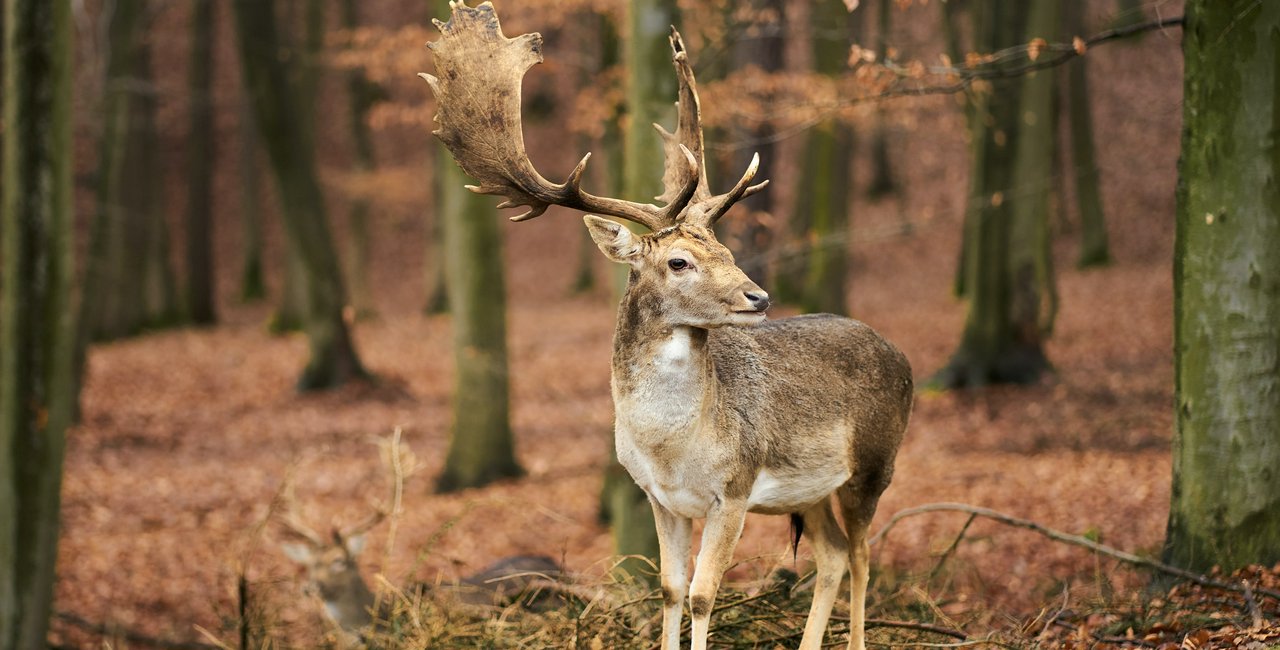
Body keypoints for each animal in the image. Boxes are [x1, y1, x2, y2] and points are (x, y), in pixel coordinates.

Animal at [419, 2, 911, 647]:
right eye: (680, 261)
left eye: (727, 249)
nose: (759, 295)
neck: (673, 448)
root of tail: (902, 358)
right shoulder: (659, 497)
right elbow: (671, 589)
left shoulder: (734, 487)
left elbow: (704, 595)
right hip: (809, 493)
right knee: (830, 556)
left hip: (876, 464)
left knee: (862, 557)